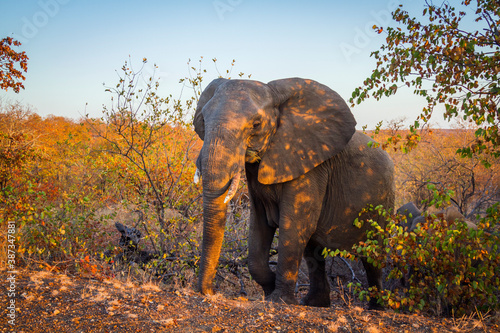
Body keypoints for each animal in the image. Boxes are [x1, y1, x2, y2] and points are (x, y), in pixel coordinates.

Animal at [192, 76, 394, 308]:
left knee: (373, 258)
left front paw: (279, 299)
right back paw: (314, 303)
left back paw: (376, 307)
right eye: (203, 120)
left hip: (384, 201)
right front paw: (270, 288)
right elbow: (259, 227)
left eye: (256, 125)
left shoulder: (310, 164)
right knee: (313, 251)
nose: (210, 292)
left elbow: (295, 224)